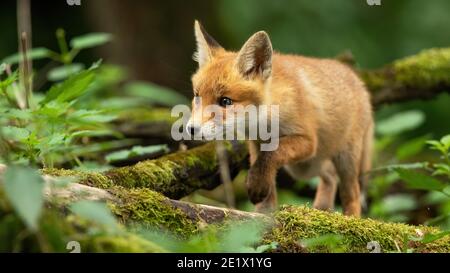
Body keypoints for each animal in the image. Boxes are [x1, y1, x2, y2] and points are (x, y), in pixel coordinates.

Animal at [186, 21, 372, 216]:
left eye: (225, 101)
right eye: (197, 96)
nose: (191, 129)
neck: (266, 121)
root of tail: (359, 81)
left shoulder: (307, 140)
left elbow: (271, 155)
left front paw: (257, 186)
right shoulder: (256, 144)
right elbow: (263, 168)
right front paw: (262, 213)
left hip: (343, 159)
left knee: (352, 193)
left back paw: (350, 218)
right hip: (305, 167)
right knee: (329, 175)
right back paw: (322, 209)